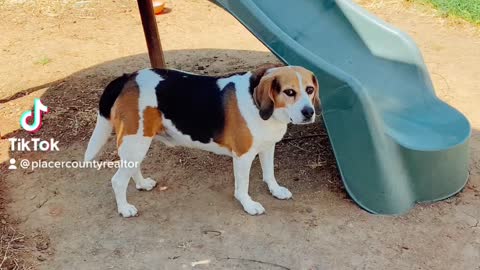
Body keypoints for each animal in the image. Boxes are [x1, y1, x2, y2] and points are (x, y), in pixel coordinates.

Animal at [85, 65, 320, 217]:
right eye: (289, 92)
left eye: (310, 90)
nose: (309, 112)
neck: (258, 103)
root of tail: (127, 77)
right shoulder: (243, 156)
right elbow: (242, 186)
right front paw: (248, 204)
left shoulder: (268, 146)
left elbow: (269, 173)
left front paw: (275, 190)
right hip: (136, 142)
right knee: (117, 180)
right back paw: (124, 209)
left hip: (139, 142)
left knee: (132, 168)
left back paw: (142, 184)